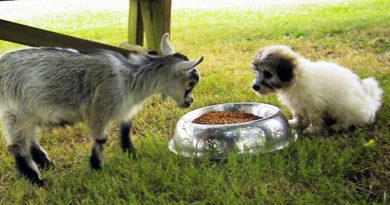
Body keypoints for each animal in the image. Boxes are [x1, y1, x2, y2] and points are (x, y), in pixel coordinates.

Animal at [0, 33, 203, 186]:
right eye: (191, 83)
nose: (190, 101)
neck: (130, 79)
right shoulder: (101, 108)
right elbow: (101, 138)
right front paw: (97, 167)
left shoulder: (123, 108)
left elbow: (126, 128)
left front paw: (132, 153)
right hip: (16, 111)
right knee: (17, 144)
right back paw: (36, 180)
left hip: (31, 112)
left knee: (30, 138)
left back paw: (47, 164)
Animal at [251, 45, 382, 134]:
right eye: (257, 72)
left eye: (268, 74)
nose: (254, 87)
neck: (295, 78)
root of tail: (371, 103)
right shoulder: (297, 105)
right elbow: (298, 114)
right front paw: (295, 123)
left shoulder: (314, 105)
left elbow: (315, 119)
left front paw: (312, 130)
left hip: (346, 108)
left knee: (350, 121)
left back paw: (338, 126)